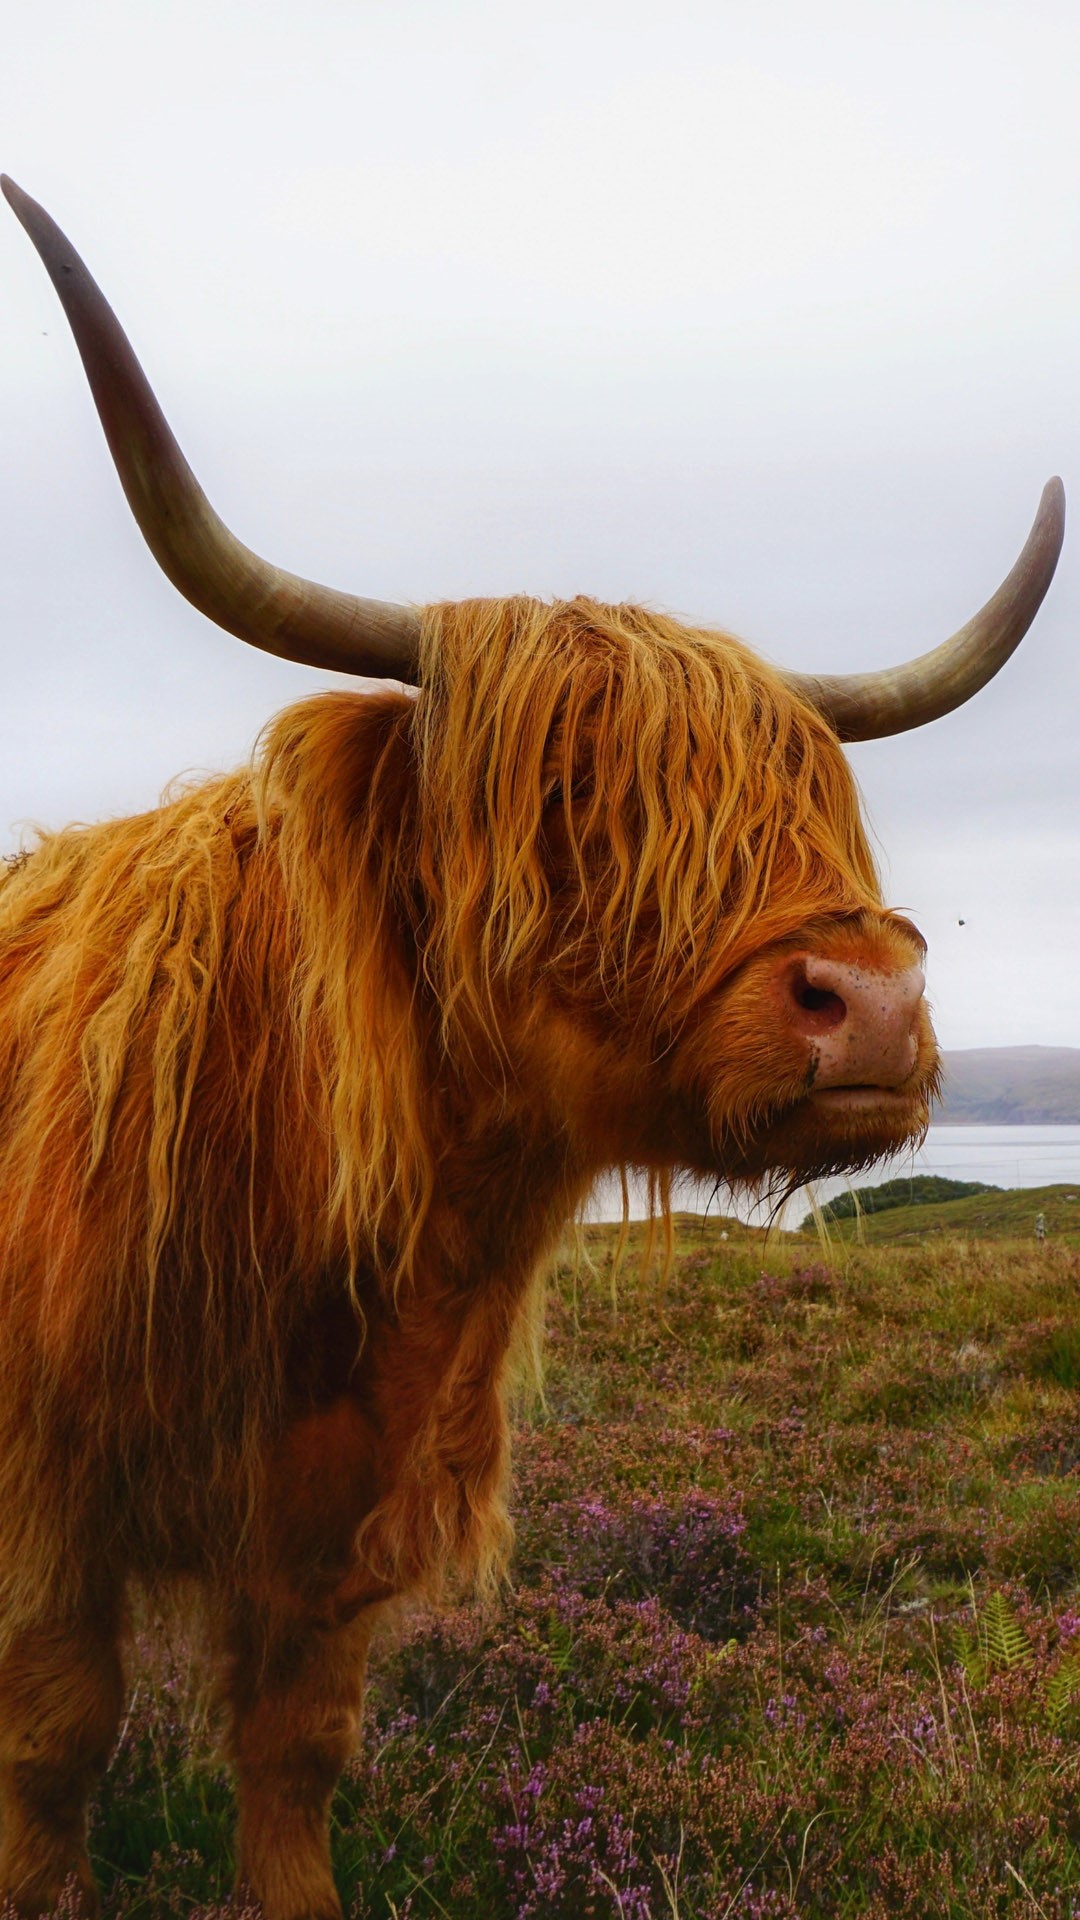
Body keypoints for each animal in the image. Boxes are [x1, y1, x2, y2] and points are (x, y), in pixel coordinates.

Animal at [0, 180, 1060, 1920]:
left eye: (818, 802)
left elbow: (296, 1747)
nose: (873, 1003)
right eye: (568, 795)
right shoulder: (47, 1507)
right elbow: (53, 1751)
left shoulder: (342, 1519)